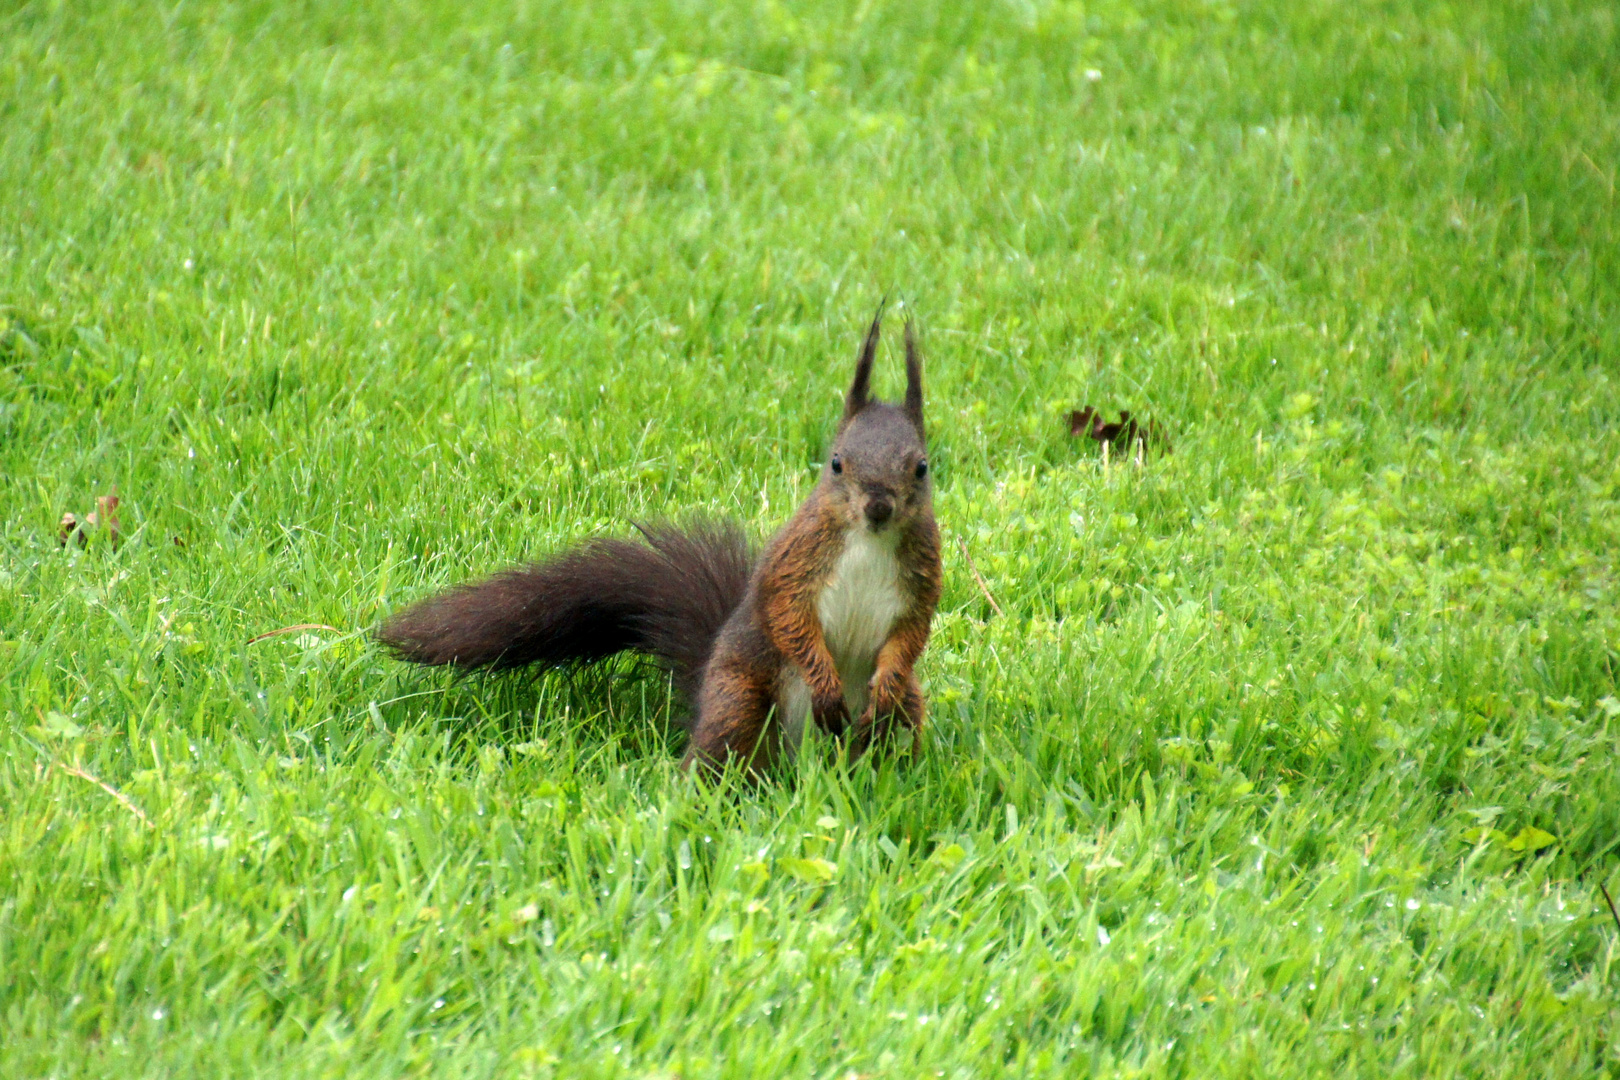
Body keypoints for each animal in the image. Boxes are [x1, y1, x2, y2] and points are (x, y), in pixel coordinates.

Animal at [374, 306, 946, 777]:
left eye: (921, 467)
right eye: (836, 463)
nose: (878, 507)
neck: (869, 542)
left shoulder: (922, 577)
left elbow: (910, 633)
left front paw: (887, 678)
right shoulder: (795, 561)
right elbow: (788, 616)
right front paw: (823, 679)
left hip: (903, 714)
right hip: (741, 698)